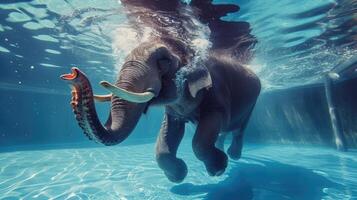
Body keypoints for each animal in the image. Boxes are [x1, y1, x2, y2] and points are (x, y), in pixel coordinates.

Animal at [61, 38, 260, 183]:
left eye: (164, 61)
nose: (73, 74)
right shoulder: (174, 110)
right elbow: (168, 135)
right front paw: (178, 176)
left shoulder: (216, 91)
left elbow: (203, 134)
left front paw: (217, 170)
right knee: (223, 132)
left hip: (253, 101)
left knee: (238, 129)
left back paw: (233, 155)